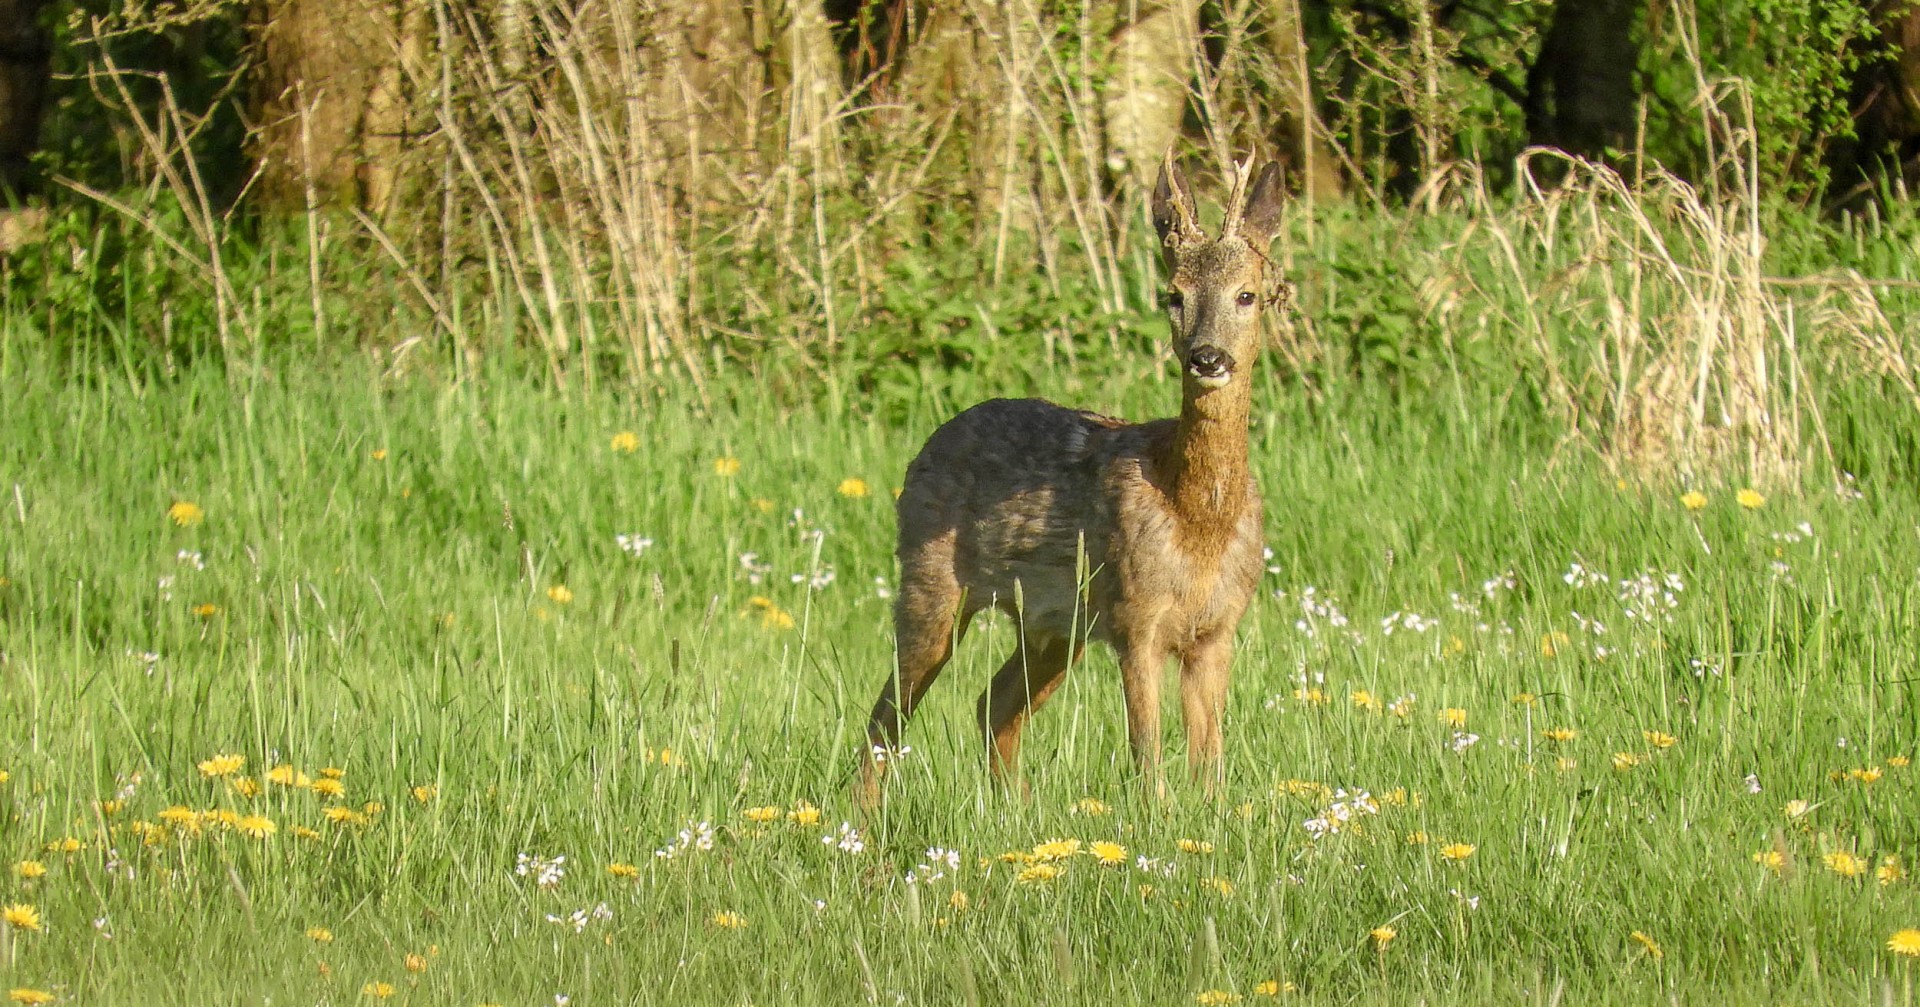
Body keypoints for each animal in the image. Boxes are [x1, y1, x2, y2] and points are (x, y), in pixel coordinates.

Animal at [860, 149, 1282, 799]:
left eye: (1248, 294)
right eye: (1173, 295)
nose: (1207, 357)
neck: (1195, 514)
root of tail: (928, 445)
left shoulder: (1218, 628)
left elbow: (1210, 764)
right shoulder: (1136, 615)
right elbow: (1147, 756)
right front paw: (1158, 818)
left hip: (1056, 625)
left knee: (992, 703)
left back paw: (1014, 807)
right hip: (931, 586)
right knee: (884, 723)